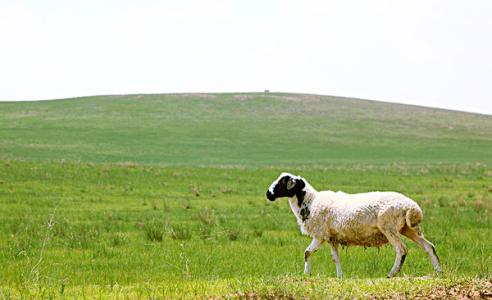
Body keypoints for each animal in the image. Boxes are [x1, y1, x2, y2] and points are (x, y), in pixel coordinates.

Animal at [266, 172, 442, 278]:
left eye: (283, 182)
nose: (268, 194)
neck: (311, 202)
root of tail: (412, 207)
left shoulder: (320, 234)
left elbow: (309, 253)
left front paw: (307, 274)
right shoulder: (332, 237)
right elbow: (331, 257)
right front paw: (338, 276)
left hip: (389, 227)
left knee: (402, 250)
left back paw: (391, 274)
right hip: (408, 228)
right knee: (429, 246)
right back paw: (439, 271)